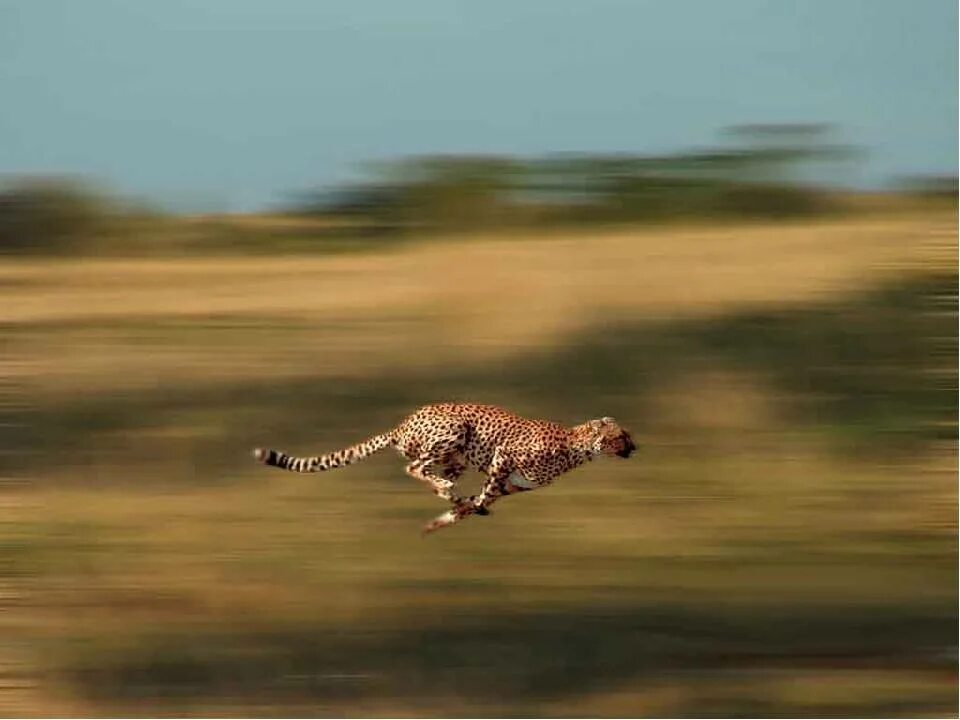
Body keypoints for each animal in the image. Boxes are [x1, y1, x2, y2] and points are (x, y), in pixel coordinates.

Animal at [253, 402, 636, 532]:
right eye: (621, 437)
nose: (635, 448)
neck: (575, 446)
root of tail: (402, 424)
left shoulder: (512, 483)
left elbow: (484, 497)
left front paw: (448, 519)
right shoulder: (502, 457)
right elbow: (487, 490)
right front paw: (462, 511)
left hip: (457, 459)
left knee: (437, 479)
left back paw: (453, 496)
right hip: (454, 432)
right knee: (415, 468)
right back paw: (447, 489)